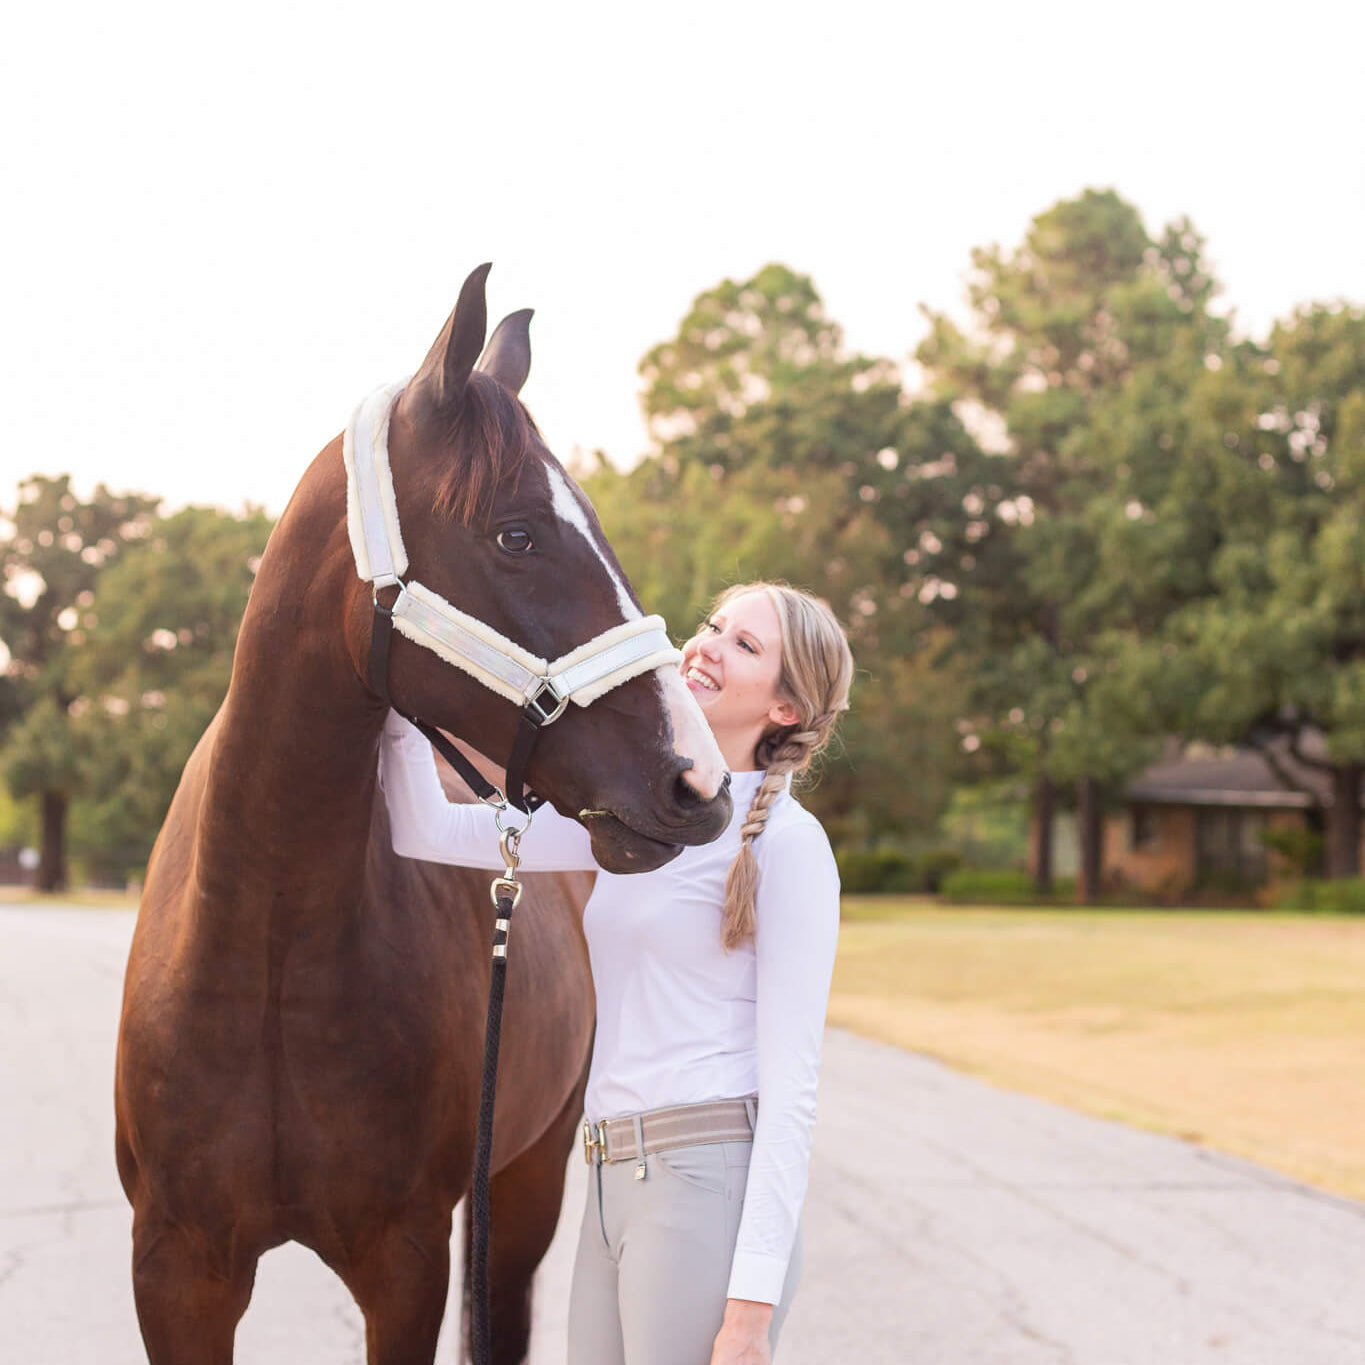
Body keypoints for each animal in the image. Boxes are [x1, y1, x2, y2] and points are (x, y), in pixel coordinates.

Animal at [114, 260, 737, 1359]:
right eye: (516, 532)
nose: (694, 780)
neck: (265, 951)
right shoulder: (177, 1269)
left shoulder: (403, 1261)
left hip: (524, 1183)